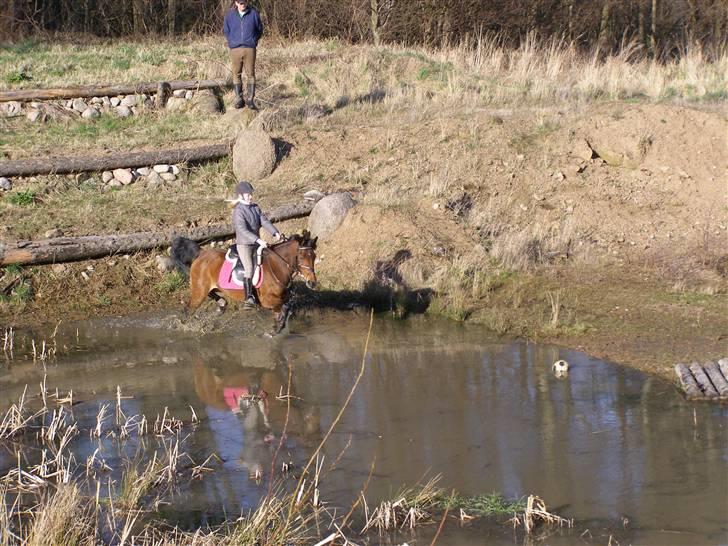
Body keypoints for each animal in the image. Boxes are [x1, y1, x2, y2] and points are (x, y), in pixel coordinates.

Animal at [172, 230, 320, 332]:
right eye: (301, 257)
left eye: (314, 256)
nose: (312, 283)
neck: (277, 266)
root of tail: (201, 253)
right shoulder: (268, 301)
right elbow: (281, 312)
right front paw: (273, 331)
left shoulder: (281, 299)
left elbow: (284, 310)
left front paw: (278, 328)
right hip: (199, 291)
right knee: (188, 310)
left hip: (209, 288)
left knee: (213, 295)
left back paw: (221, 304)